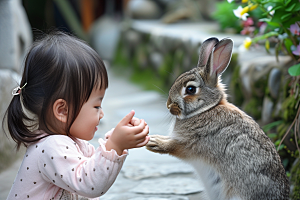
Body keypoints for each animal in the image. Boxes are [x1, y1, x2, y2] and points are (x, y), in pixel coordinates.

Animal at [146, 37, 290, 200]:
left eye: (190, 89)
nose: (169, 105)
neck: (207, 109)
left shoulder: (193, 144)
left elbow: (174, 146)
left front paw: (154, 142)